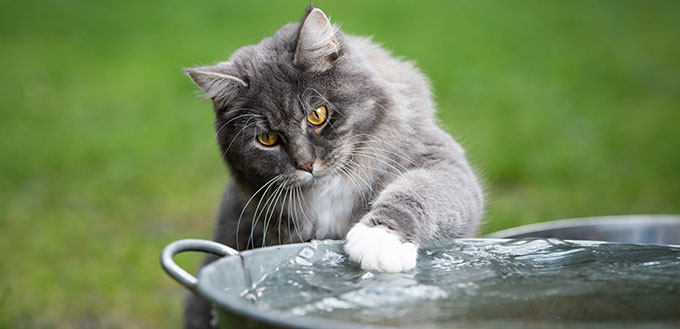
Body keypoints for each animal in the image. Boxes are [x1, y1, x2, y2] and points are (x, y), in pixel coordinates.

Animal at [183, 5, 484, 328]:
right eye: (267, 139)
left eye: (317, 115)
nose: (306, 164)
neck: (329, 187)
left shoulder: (439, 160)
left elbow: (416, 193)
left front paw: (379, 241)